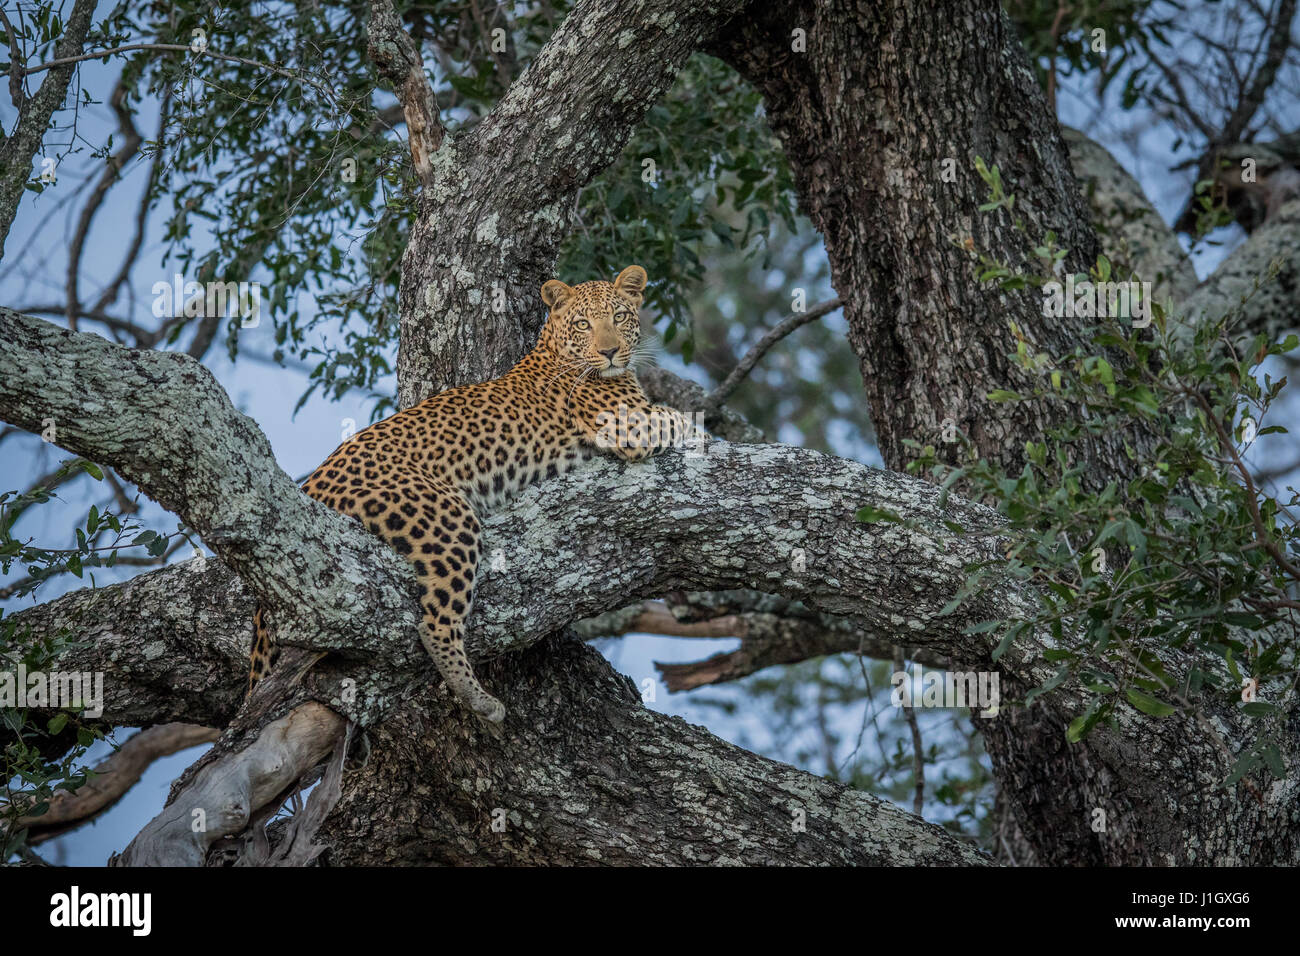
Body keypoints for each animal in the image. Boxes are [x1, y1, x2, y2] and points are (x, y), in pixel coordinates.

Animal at [247, 265, 705, 724]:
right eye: (583, 324)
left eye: (620, 316)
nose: (610, 352)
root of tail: (312, 482)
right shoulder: (628, 425)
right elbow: (678, 417)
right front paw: (699, 431)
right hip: (447, 518)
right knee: (434, 624)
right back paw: (480, 700)